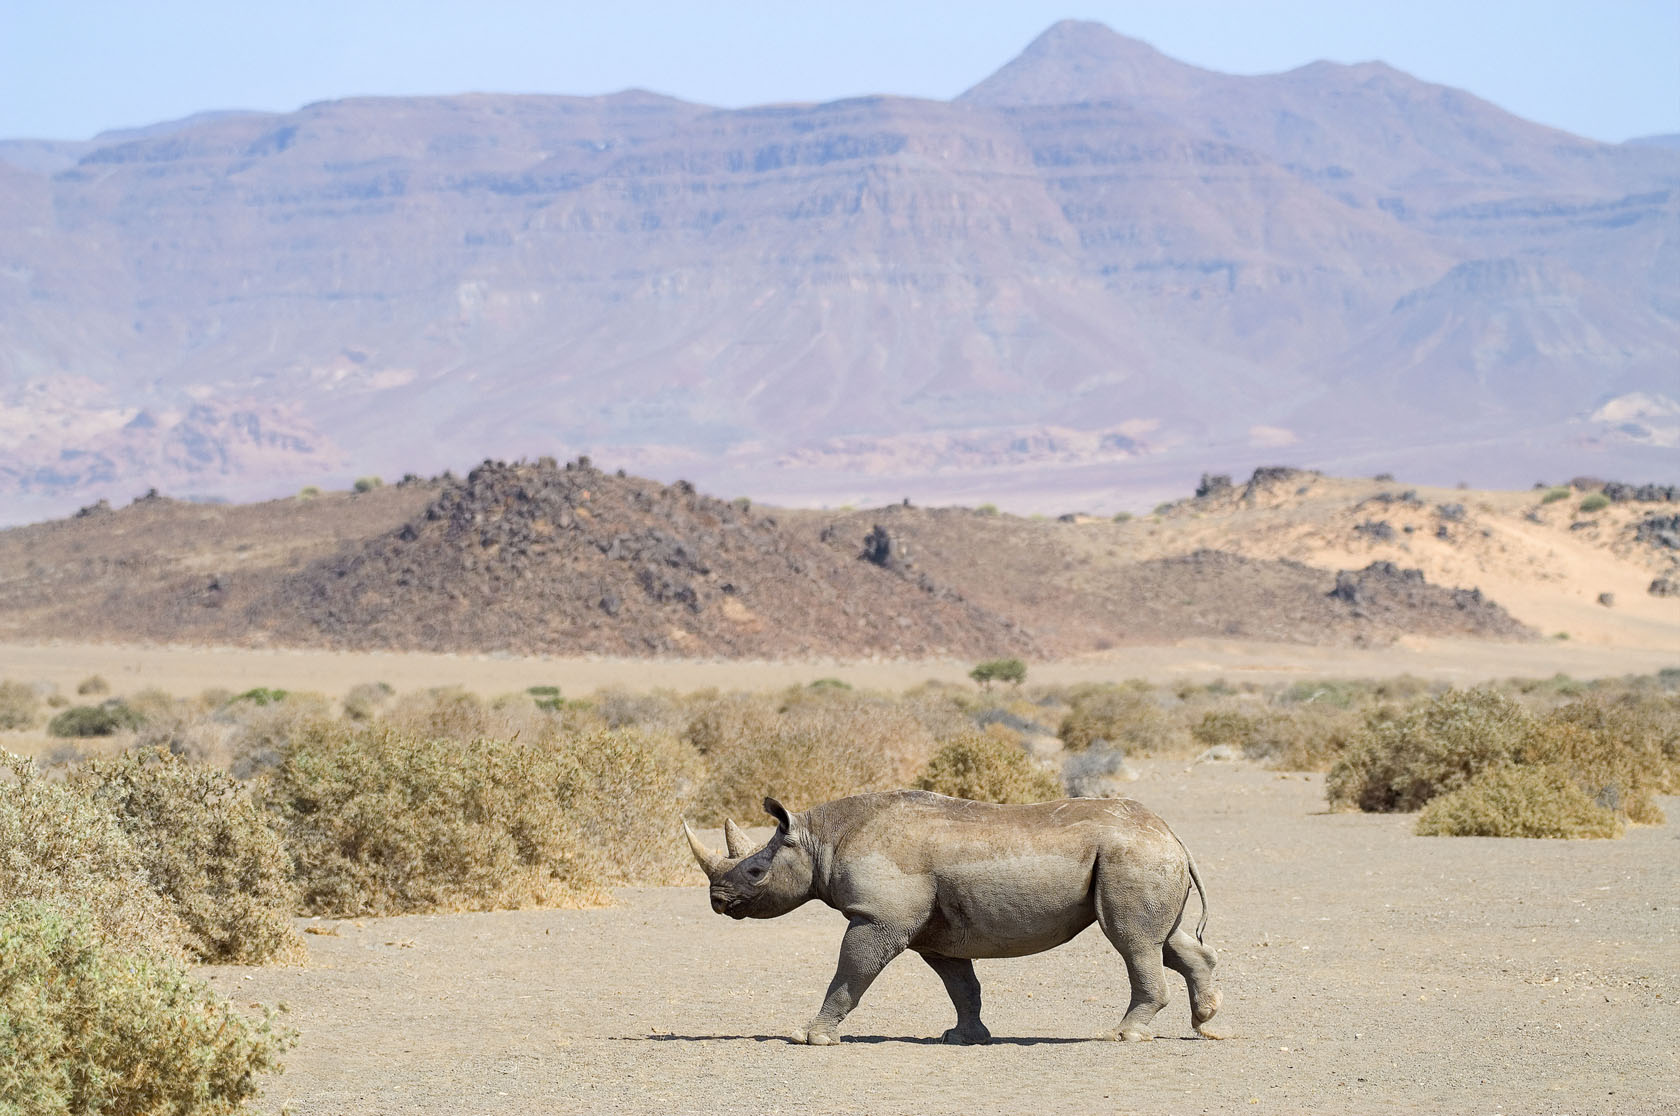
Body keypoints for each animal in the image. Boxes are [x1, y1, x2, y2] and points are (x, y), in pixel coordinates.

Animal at [683, 789, 1221, 1045]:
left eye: (755, 872)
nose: (717, 900)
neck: (820, 839)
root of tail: (1171, 833)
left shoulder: (878, 919)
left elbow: (850, 973)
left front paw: (810, 1036)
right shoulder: (936, 934)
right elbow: (962, 986)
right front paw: (964, 1038)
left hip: (1131, 856)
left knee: (1132, 941)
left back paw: (1121, 1035)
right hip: (1142, 855)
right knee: (1167, 941)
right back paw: (1208, 1024)